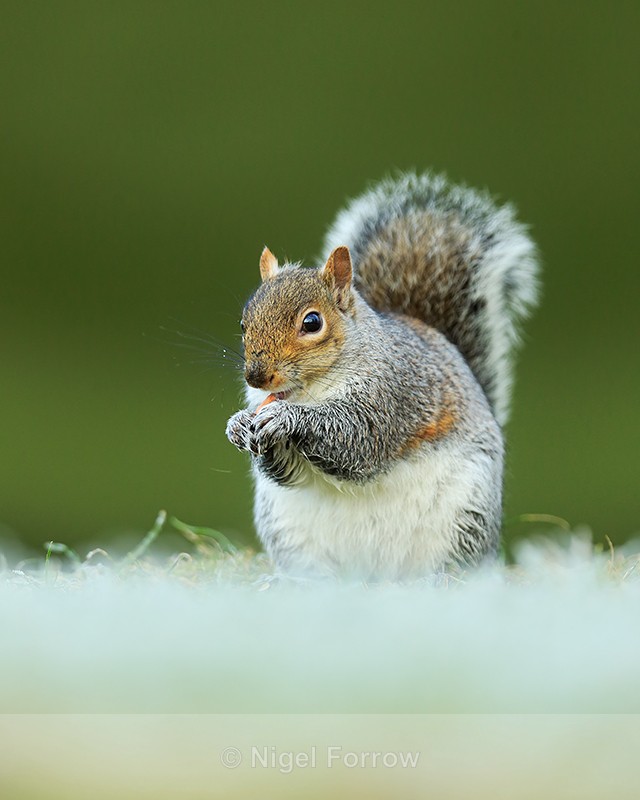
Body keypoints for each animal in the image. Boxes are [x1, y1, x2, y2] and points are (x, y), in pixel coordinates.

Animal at [226, 172, 539, 580]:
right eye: (243, 323)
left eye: (312, 322)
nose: (256, 377)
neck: (311, 389)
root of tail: (375, 577)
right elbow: (286, 470)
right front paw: (237, 424)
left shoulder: (392, 396)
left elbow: (356, 437)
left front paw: (286, 419)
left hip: (467, 515)